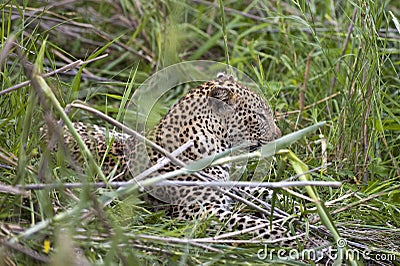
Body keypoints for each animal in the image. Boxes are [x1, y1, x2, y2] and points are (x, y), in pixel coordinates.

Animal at [59, 74, 328, 248]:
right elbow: (251, 223)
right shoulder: (199, 210)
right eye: (260, 116)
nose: (280, 135)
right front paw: (294, 237)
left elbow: (261, 191)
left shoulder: (230, 186)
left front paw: (307, 204)